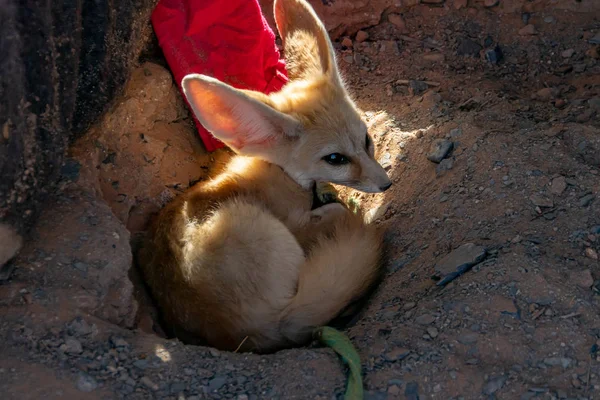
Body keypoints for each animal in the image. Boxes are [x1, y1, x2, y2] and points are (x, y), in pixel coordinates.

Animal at [141, 0, 394, 354]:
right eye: (335, 159)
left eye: (367, 140)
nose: (386, 183)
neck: (280, 172)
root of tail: (256, 331)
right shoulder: (297, 222)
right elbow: (335, 211)